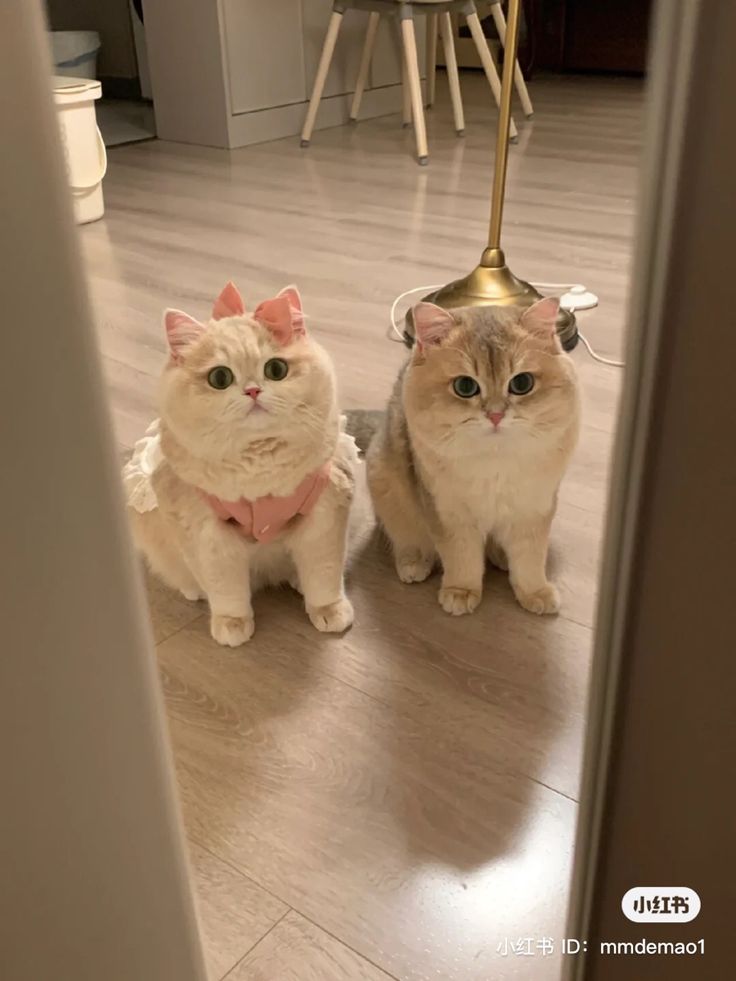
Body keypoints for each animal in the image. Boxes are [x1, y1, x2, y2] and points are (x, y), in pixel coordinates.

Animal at [123, 280, 360, 648]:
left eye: (276, 370)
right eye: (220, 378)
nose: (252, 391)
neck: (261, 478)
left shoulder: (324, 518)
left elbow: (324, 577)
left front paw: (329, 611)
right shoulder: (209, 536)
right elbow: (226, 591)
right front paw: (232, 624)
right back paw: (194, 590)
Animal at [362, 294, 580, 616]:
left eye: (522, 384)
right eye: (465, 387)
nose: (495, 415)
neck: (495, 462)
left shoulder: (533, 511)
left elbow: (530, 559)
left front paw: (534, 592)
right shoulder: (449, 514)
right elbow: (462, 558)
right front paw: (461, 591)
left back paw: (500, 557)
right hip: (385, 482)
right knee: (404, 537)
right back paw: (414, 563)